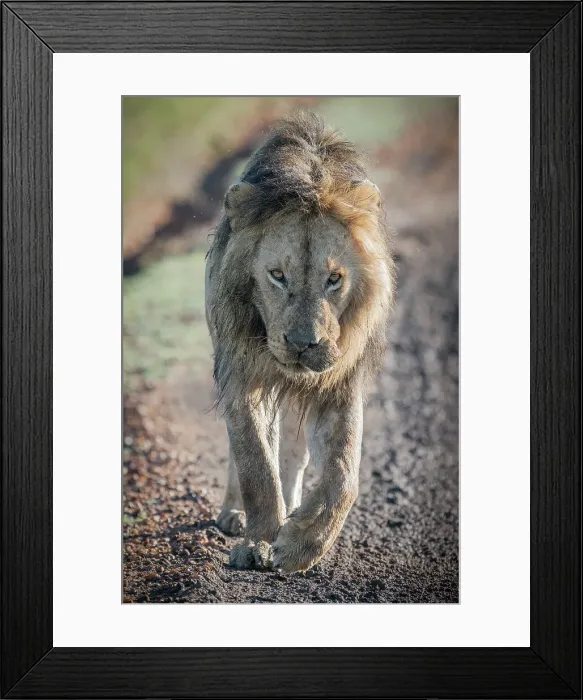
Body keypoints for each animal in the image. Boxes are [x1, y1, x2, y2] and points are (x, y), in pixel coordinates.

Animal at [205, 112, 394, 572]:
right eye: (277, 275)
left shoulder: (341, 384)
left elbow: (343, 475)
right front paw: (258, 542)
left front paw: (300, 545)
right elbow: (256, 463)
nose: (302, 344)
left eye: (334, 279)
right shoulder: (241, 376)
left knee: (294, 451)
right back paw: (235, 515)